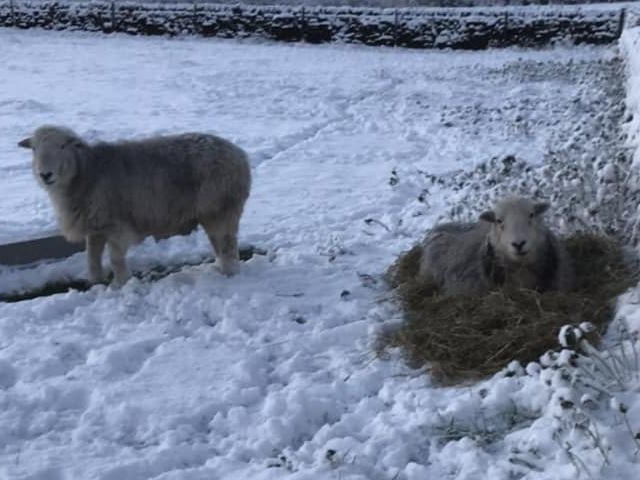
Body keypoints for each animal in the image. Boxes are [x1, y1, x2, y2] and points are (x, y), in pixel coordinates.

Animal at [19, 125, 251, 286]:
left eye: (62, 146)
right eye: (34, 149)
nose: (45, 174)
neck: (87, 173)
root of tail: (239, 155)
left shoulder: (116, 224)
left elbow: (115, 258)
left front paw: (120, 284)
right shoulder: (96, 224)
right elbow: (92, 256)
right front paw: (95, 280)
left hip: (220, 209)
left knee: (227, 246)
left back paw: (228, 273)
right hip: (215, 212)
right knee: (221, 244)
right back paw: (220, 268)